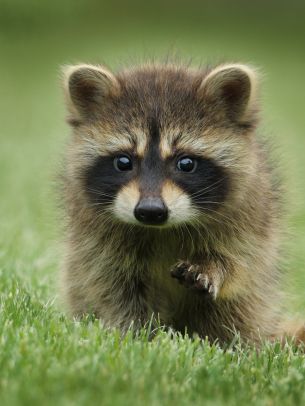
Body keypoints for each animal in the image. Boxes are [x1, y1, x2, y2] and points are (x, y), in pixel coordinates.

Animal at [60, 61, 302, 346]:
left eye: (185, 163)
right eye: (123, 162)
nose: (150, 211)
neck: (161, 230)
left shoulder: (250, 216)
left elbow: (241, 263)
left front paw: (214, 267)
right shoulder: (96, 240)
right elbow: (114, 287)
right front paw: (139, 335)